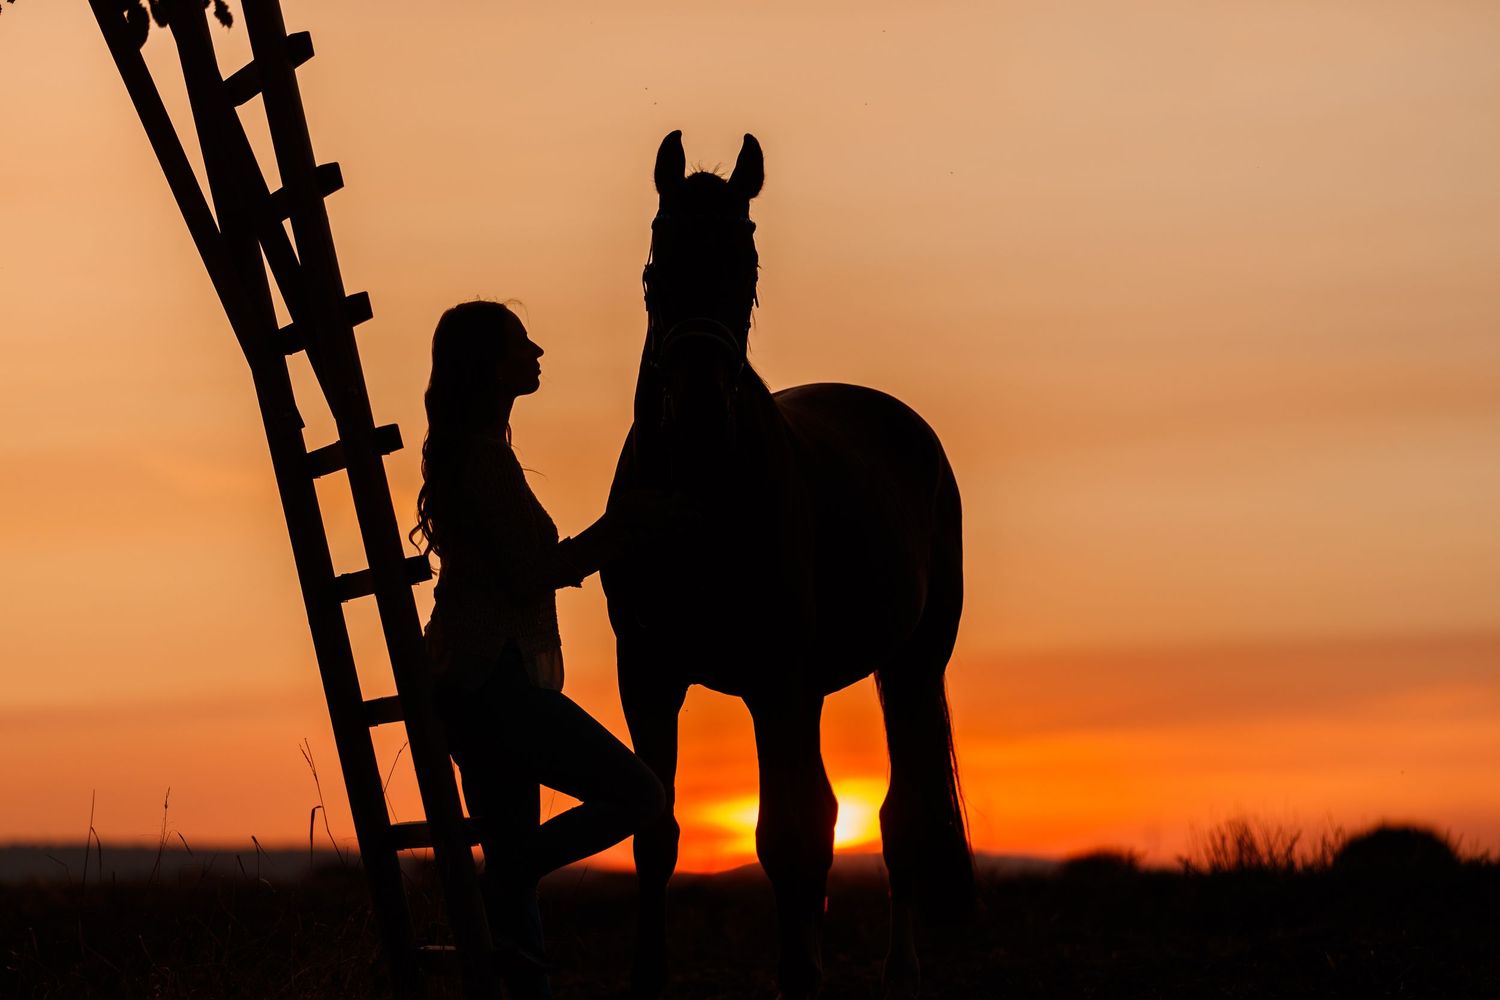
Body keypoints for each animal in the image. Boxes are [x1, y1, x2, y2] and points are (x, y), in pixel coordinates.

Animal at [601, 131, 973, 999]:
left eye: (749, 270)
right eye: (655, 266)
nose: (700, 409)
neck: (698, 495)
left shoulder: (775, 682)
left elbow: (785, 836)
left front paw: (800, 977)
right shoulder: (649, 677)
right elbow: (657, 833)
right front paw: (648, 978)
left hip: (910, 666)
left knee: (897, 817)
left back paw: (897, 972)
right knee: (836, 812)